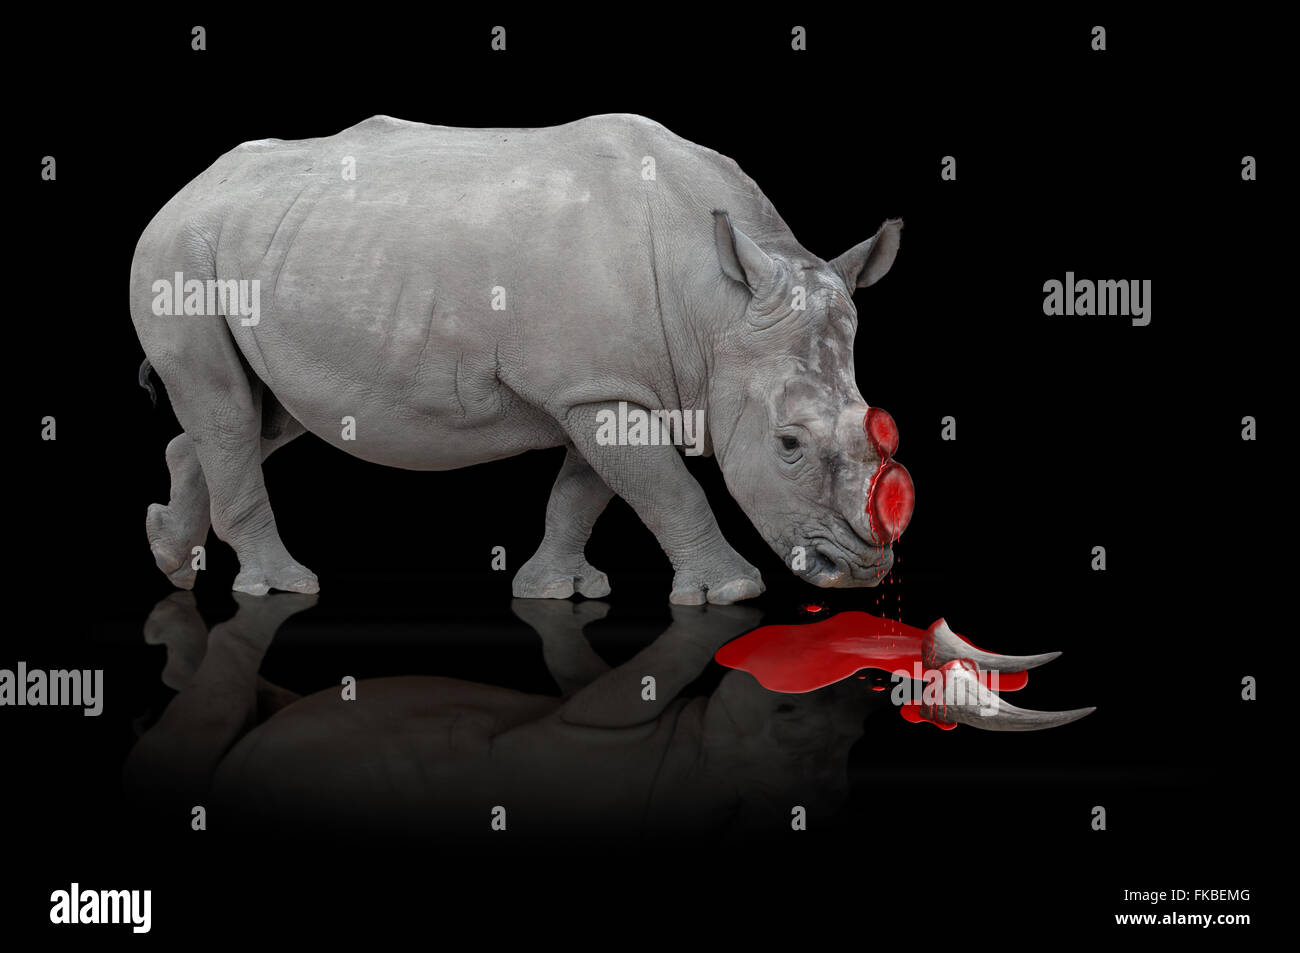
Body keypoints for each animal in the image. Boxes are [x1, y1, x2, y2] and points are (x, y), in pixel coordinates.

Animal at [131, 114, 915, 602]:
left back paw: (168, 558)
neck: (718, 307)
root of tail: (184, 191)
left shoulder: (599, 385)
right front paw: (731, 591)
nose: (859, 571)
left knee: (266, 414)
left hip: (273, 250)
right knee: (229, 412)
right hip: (180, 254)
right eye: (788, 444)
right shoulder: (597, 387)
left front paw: (558, 590)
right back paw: (281, 585)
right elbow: (669, 489)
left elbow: (587, 490)